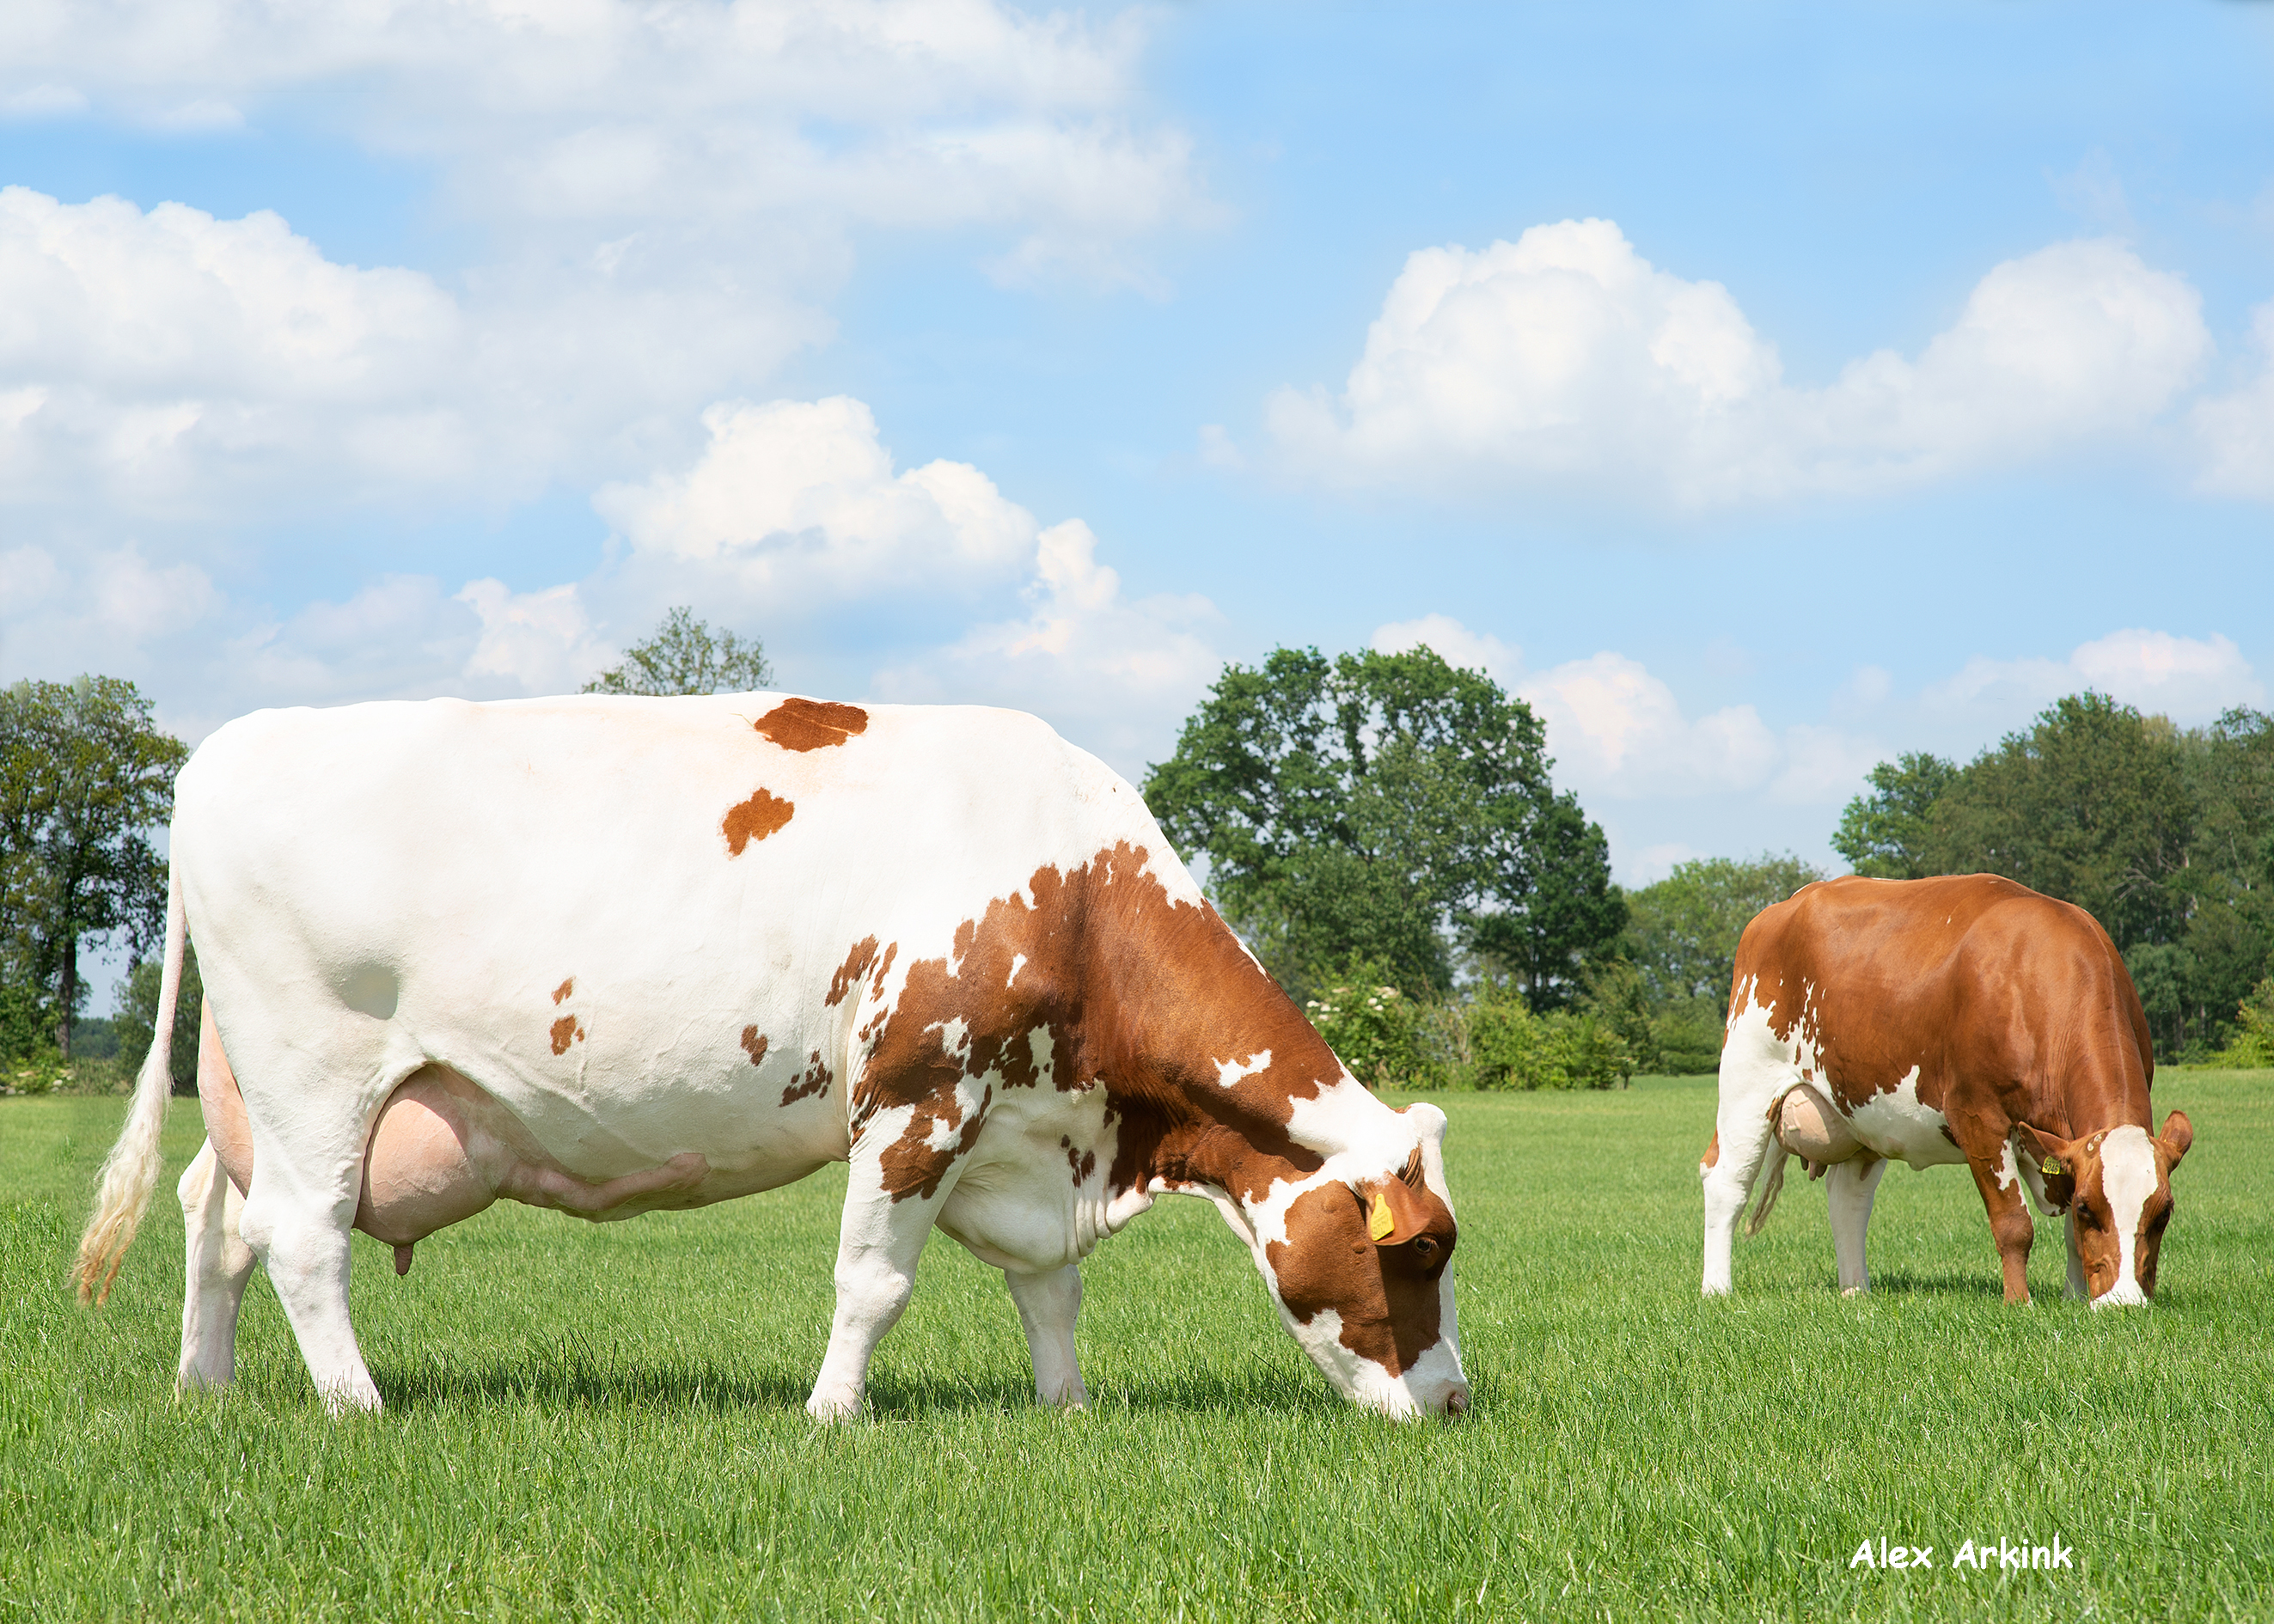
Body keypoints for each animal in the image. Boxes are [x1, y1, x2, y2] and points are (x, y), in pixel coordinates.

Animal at [75, 696, 1473, 1419]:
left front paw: (1065, 1408)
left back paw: (206, 1388)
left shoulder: (1023, 1123)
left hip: (246, 1085)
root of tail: (226, 746)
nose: (1457, 1402)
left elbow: (1050, 1290)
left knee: (213, 1216)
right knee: (301, 1237)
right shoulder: (917, 1099)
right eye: (1421, 1251)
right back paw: (358, 1405)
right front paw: (832, 1414)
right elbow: (874, 1284)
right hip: (312, 1068)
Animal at [1701, 873, 2191, 1301]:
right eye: (2091, 1207)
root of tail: (1784, 906)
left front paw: (2075, 1299)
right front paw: (2020, 1303)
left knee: (1848, 1200)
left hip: (1860, 1113)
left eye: (2164, 1212)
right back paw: (1717, 1290)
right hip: (1747, 1082)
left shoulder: (2063, 1145)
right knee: (1726, 1181)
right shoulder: (1976, 1116)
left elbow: (2071, 1233)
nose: (2125, 1301)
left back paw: (1856, 1291)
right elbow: (2014, 1224)